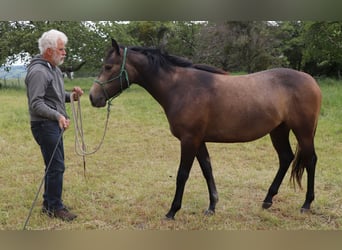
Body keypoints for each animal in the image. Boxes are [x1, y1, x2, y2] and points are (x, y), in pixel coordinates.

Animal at [88, 38, 320, 219]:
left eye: (108, 67)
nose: (93, 97)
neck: (181, 88)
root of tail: (311, 80)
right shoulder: (199, 140)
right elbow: (207, 170)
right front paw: (212, 206)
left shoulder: (189, 140)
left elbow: (182, 174)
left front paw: (172, 211)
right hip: (279, 130)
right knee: (286, 158)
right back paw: (268, 200)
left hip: (303, 132)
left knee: (310, 160)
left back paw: (306, 204)